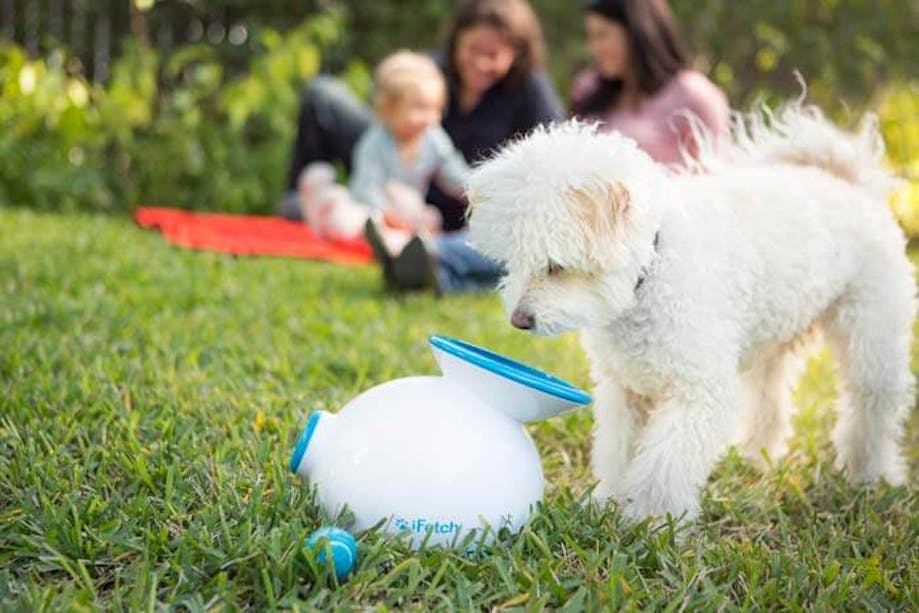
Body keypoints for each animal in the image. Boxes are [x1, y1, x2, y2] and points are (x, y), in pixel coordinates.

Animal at [470, 105, 916, 520]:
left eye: (556, 266)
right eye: (513, 261)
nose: (519, 321)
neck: (651, 268)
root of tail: (844, 179)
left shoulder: (697, 392)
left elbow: (664, 467)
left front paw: (651, 520)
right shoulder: (625, 390)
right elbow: (618, 452)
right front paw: (607, 502)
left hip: (871, 335)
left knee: (871, 404)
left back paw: (871, 474)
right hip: (773, 340)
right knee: (769, 400)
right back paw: (758, 456)